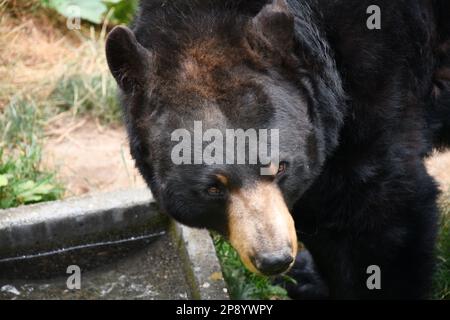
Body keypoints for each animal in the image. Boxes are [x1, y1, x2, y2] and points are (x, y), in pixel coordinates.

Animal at [106, 0, 450, 300]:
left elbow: (380, 209)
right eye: (213, 188)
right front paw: (307, 280)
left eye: (280, 167)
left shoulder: (378, 84)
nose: (274, 259)